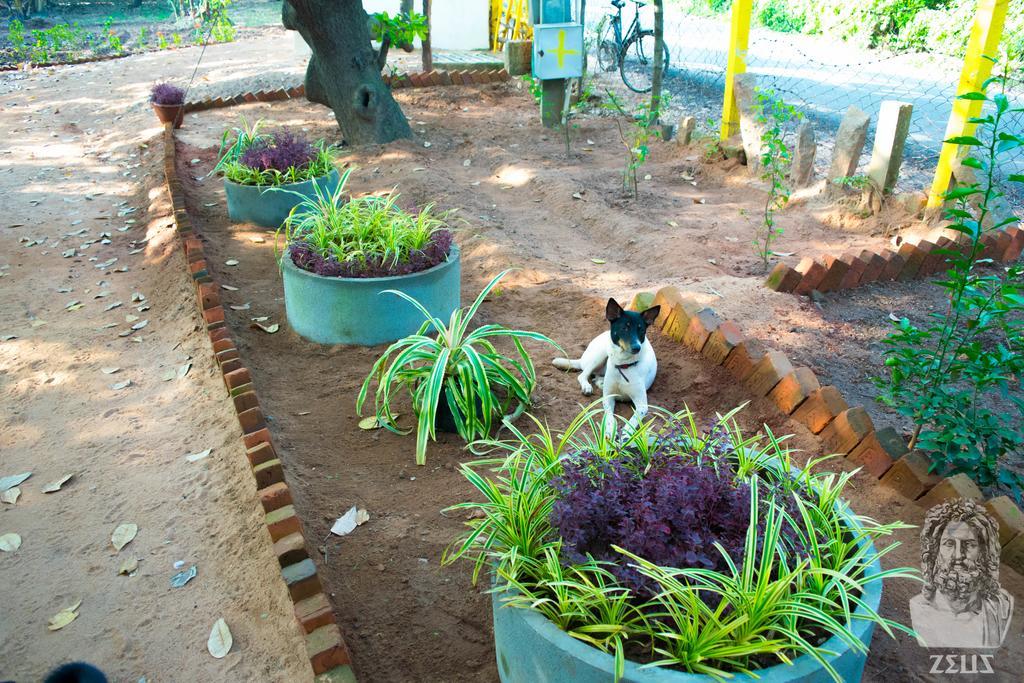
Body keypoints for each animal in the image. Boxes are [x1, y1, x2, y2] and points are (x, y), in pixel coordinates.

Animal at [557, 299, 659, 438]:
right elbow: (610, 416)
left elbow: (633, 420)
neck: (623, 366)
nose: (637, 348)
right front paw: (610, 430)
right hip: (600, 354)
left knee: (595, 376)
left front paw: (626, 434)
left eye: (641, 330)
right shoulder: (608, 397)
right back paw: (587, 386)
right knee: (583, 375)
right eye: (624, 328)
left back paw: (599, 382)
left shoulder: (642, 405)